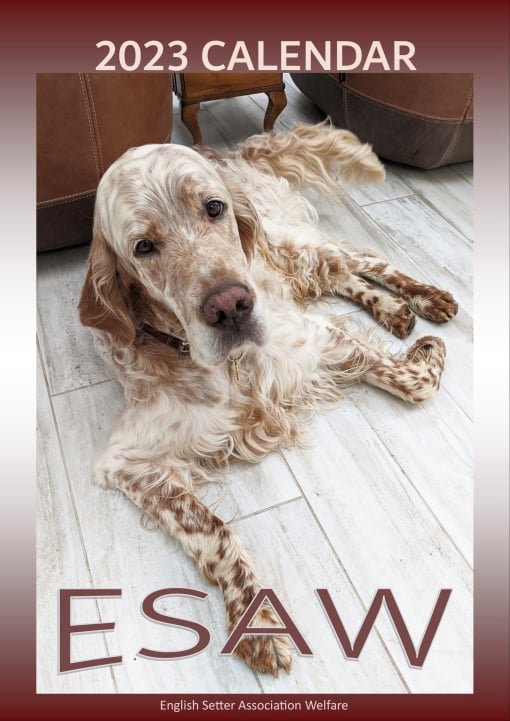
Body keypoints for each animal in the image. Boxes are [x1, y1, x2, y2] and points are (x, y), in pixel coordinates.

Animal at [78, 122, 458, 676]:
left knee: (365, 261)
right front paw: (254, 620)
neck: (230, 369)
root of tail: (234, 152)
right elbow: (214, 531)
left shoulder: (314, 342)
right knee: (341, 277)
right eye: (143, 245)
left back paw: (424, 298)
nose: (231, 306)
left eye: (213, 208)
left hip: (295, 244)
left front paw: (426, 351)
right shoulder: (130, 460)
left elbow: (414, 380)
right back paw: (392, 310)